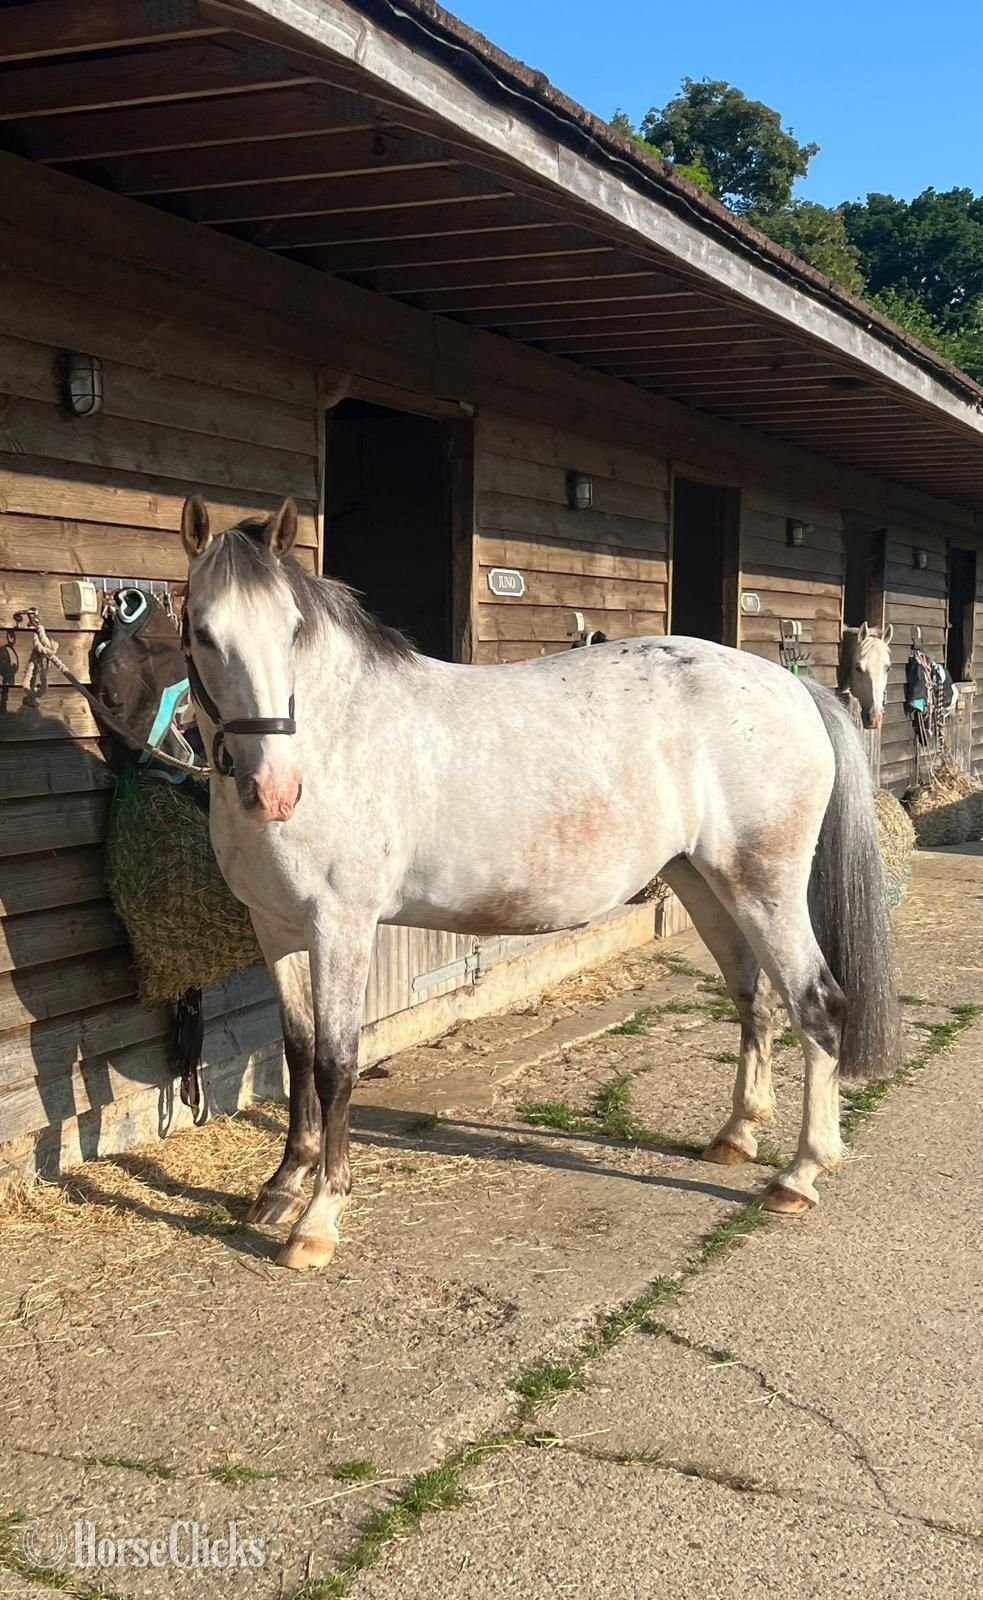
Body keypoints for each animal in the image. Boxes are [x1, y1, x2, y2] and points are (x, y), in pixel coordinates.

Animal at [179, 495, 898, 1270]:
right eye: (202, 630)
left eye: (292, 630)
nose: (274, 790)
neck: (336, 735)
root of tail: (791, 686)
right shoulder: (276, 927)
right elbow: (297, 1055)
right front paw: (281, 1187)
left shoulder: (340, 925)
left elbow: (336, 1064)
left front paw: (316, 1221)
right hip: (706, 884)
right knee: (754, 997)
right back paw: (735, 1138)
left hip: (765, 888)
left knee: (817, 1004)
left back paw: (799, 1173)